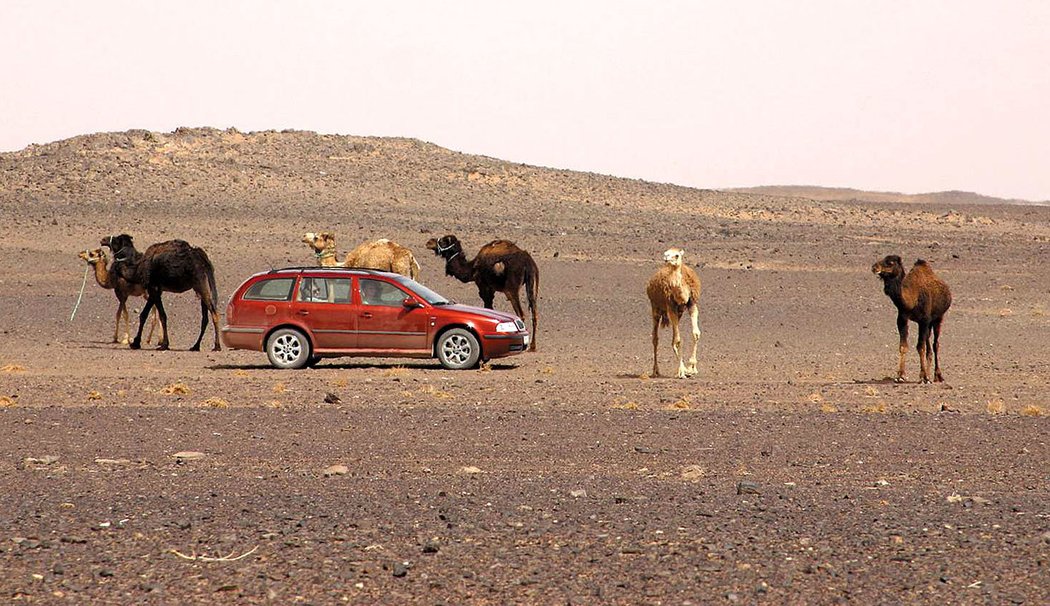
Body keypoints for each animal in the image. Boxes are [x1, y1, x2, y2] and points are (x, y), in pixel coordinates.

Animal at [642, 246, 701, 378]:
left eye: (677, 255)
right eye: (666, 253)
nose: (666, 259)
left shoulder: (692, 304)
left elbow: (695, 333)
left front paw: (692, 367)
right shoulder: (671, 307)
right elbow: (678, 340)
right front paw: (682, 371)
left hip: (679, 313)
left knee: (673, 338)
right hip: (656, 308)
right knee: (655, 338)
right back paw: (656, 371)